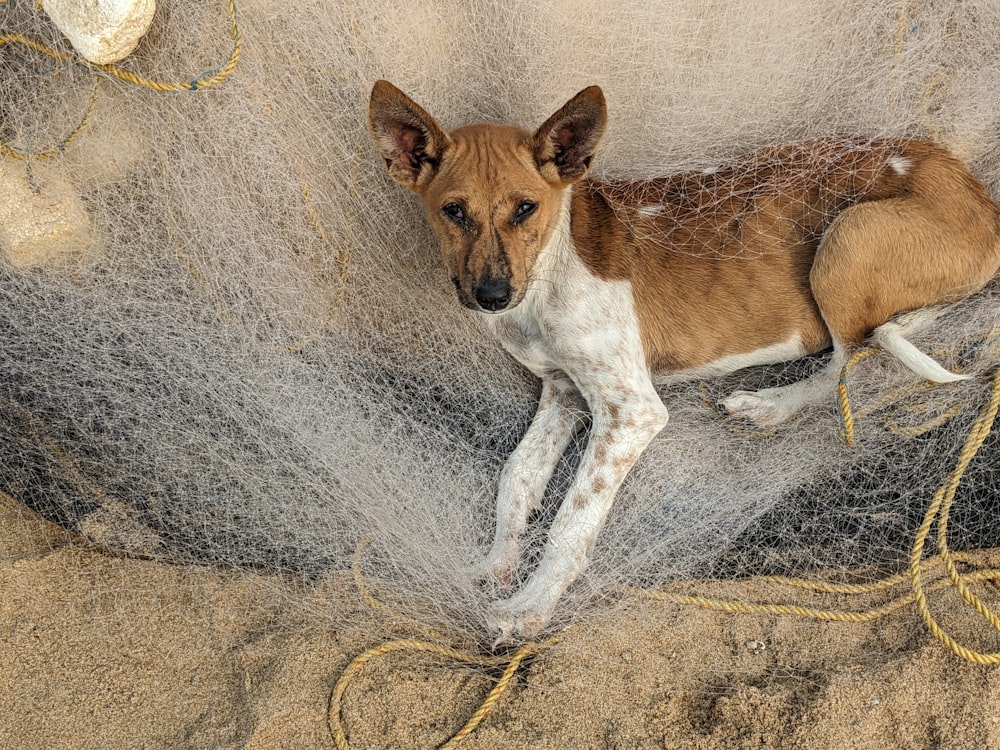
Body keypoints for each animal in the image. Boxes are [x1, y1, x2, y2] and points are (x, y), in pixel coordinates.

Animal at [368, 79, 1000, 640]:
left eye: (525, 208)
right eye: (453, 211)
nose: (492, 296)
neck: (550, 269)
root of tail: (978, 193)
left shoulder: (630, 411)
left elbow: (573, 517)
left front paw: (530, 607)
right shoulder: (564, 392)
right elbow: (517, 477)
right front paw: (497, 566)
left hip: (846, 242)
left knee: (854, 354)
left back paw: (773, 405)